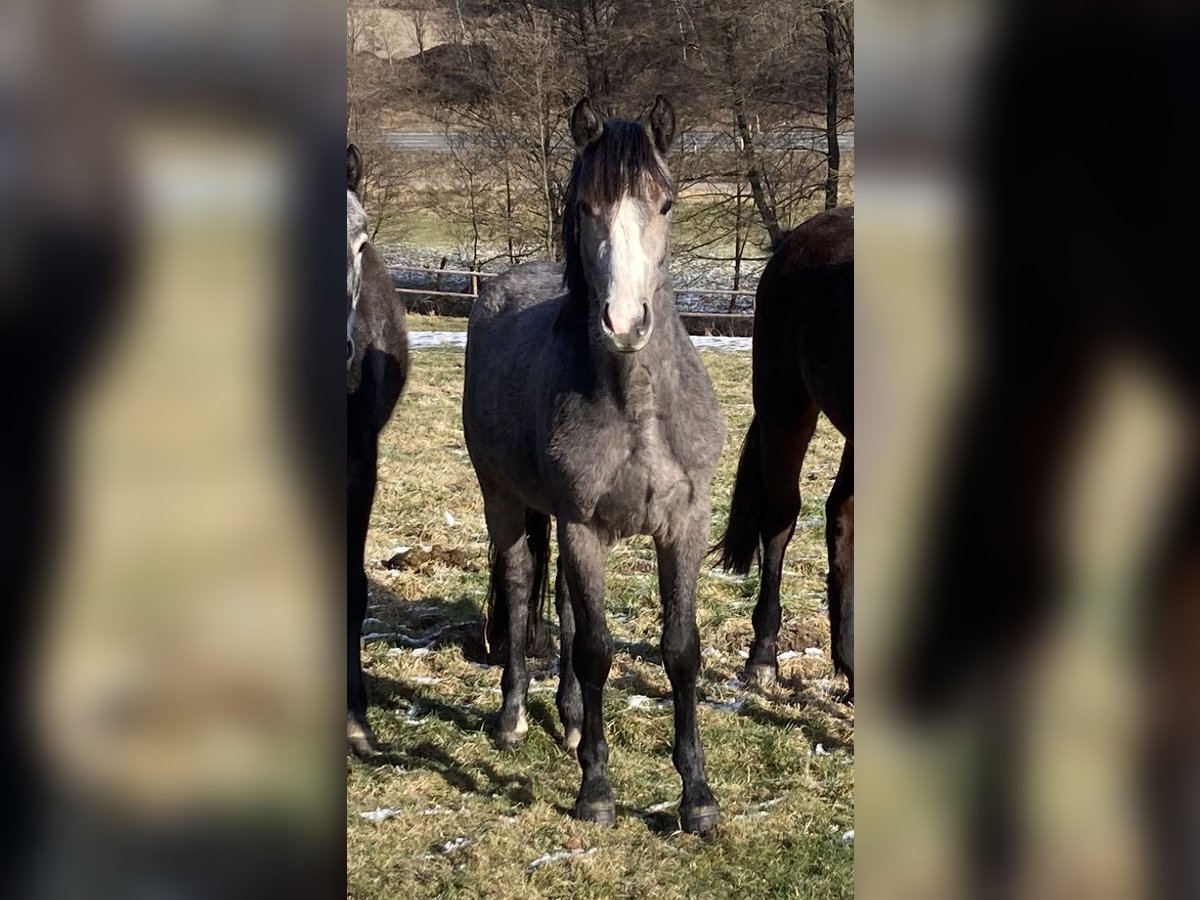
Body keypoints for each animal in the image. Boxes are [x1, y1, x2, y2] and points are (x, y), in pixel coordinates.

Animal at [458, 95, 720, 835]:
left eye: (665, 203)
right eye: (584, 206)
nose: (625, 322)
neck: (637, 405)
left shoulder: (685, 524)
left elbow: (680, 650)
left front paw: (697, 798)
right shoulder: (581, 528)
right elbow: (600, 649)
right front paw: (597, 791)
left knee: (567, 616)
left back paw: (572, 722)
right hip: (505, 502)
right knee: (522, 589)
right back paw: (515, 717)